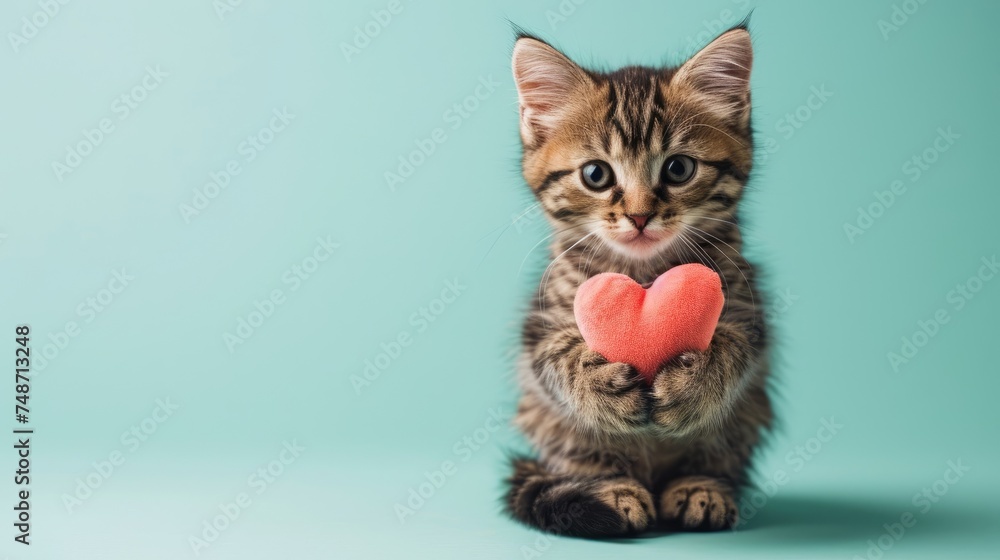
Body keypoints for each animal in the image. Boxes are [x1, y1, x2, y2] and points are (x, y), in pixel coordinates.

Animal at [508, 26, 772, 540]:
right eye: (596, 174)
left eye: (678, 169)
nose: (639, 215)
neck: (644, 273)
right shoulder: (542, 323)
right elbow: (556, 358)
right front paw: (595, 383)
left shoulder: (748, 310)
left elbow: (736, 349)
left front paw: (696, 380)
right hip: (549, 423)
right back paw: (611, 490)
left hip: (745, 419)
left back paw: (699, 488)